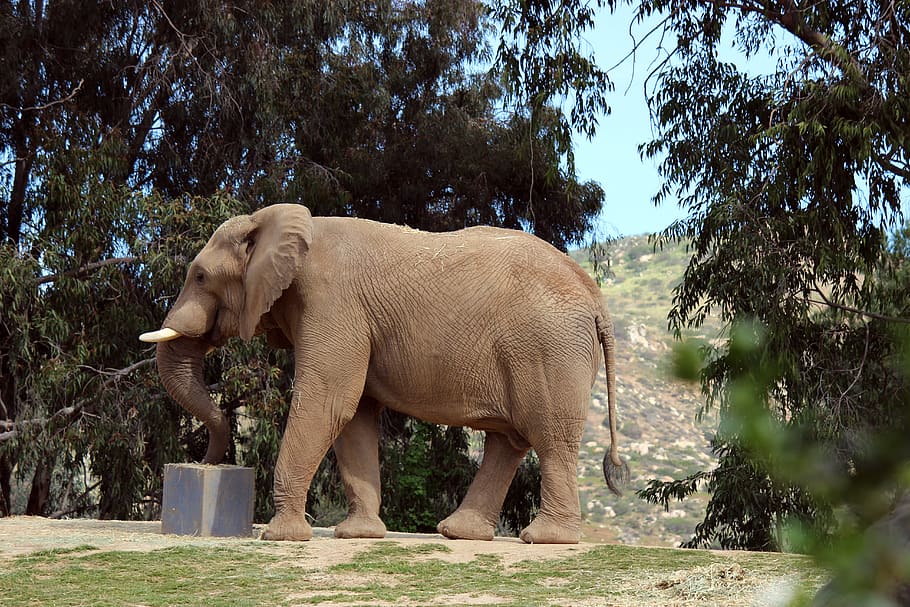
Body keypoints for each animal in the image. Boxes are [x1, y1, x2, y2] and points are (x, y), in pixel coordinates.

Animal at [140, 203, 626, 544]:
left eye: (200, 277)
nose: (205, 461)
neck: (282, 223)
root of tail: (595, 295)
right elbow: (354, 415)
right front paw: (358, 536)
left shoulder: (332, 301)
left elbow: (330, 400)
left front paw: (281, 538)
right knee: (508, 441)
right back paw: (459, 533)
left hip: (549, 350)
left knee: (549, 437)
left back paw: (545, 539)